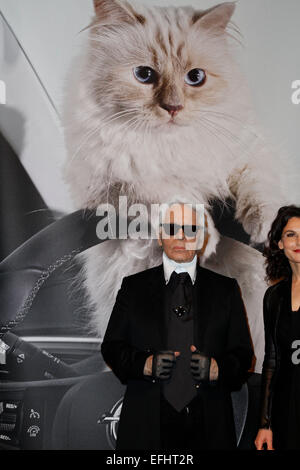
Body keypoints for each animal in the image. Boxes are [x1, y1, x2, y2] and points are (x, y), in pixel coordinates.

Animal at [62, 0, 288, 374]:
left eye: (195, 78)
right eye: (144, 75)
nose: (173, 107)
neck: (172, 146)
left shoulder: (247, 156)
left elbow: (259, 192)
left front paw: (263, 227)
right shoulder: (120, 185)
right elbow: (174, 197)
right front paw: (201, 235)